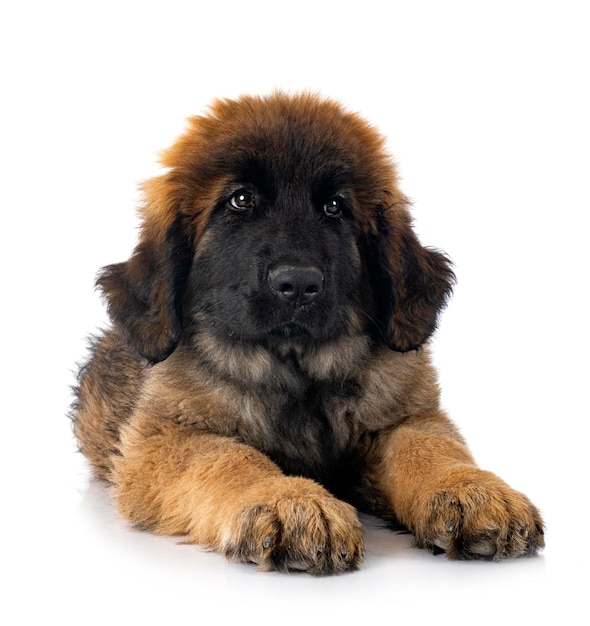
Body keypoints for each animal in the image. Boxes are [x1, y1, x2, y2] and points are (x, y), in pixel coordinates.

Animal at [71, 90, 548, 572]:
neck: (296, 370)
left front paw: (473, 489)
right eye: (241, 200)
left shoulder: (404, 414)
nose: (298, 284)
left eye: (334, 207)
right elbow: (229, 457)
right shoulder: (166, 435)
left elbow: (427, 446)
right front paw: (291, 501)